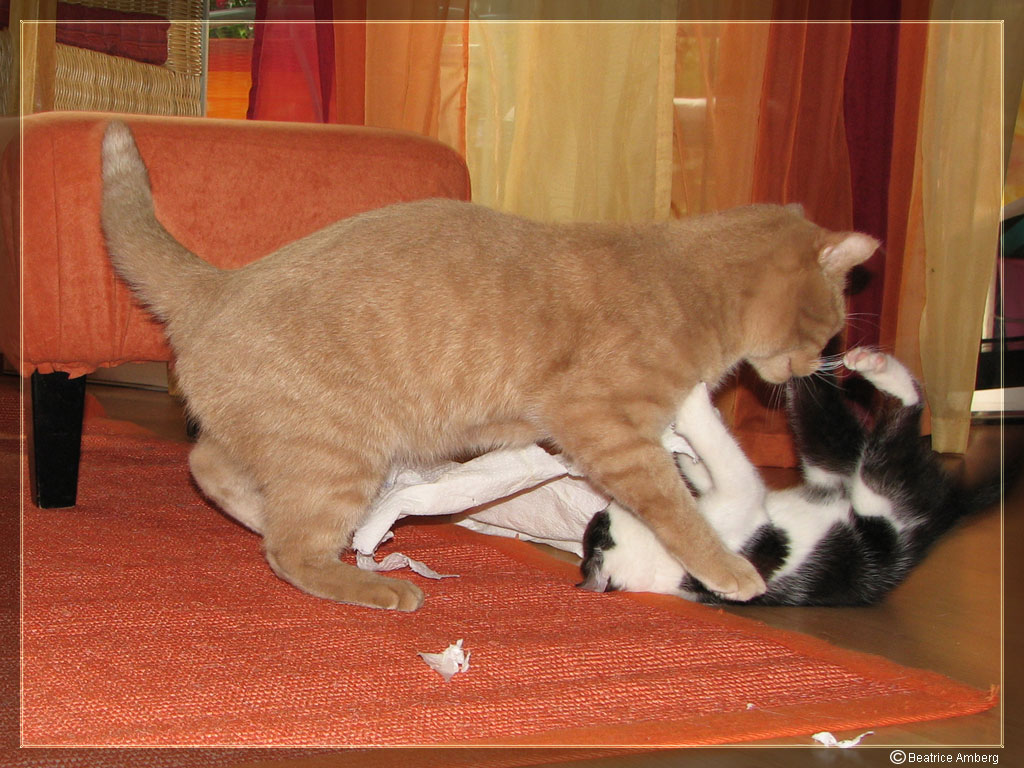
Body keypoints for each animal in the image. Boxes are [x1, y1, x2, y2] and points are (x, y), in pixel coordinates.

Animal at [100, 120, 877, 611]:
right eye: (830, 323)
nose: (818, 365)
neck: (690, 286)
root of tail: (223, 281)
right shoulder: (605, 428)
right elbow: (677, 508)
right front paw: (730, 570)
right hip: (340, 451)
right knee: (292, 550)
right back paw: (373, 584)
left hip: (283, 440)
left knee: (210, 468)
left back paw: (263, 518)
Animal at [579, 348, 1001, 606]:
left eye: (600, 524)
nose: (601, 508)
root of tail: (950, 512)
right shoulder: (741, 503)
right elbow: (727, 457)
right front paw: (693, 405)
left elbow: (709, 462)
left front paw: (683, 442)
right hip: (878, 488)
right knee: (902, 412)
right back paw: (873, 368)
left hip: (824, 458)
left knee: (828, 412)